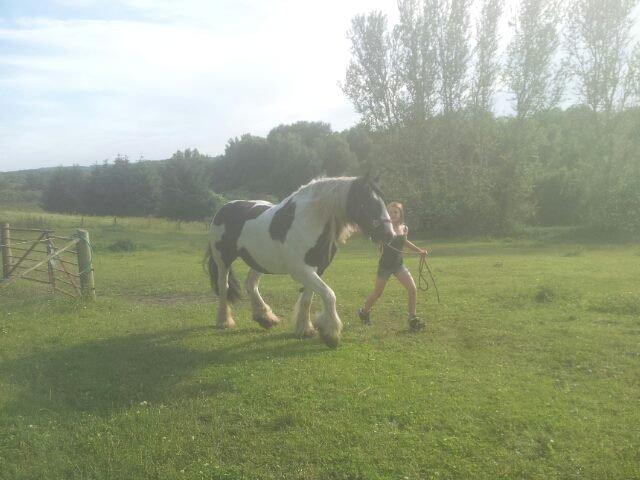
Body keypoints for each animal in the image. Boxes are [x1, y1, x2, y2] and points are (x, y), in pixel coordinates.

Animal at [205, 174, 396, 346]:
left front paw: (305, 329)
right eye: (369, 203)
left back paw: (265, 318)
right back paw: (224, 321)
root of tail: (224, 209)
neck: (308, 221)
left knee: (251, 284)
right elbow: (329, 295)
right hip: (223, 260)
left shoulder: (315, 270)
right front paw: (331, 333)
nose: (390, 235)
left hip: (259, 261)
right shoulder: (302, 271)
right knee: (224, 286)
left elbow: (307, 299)